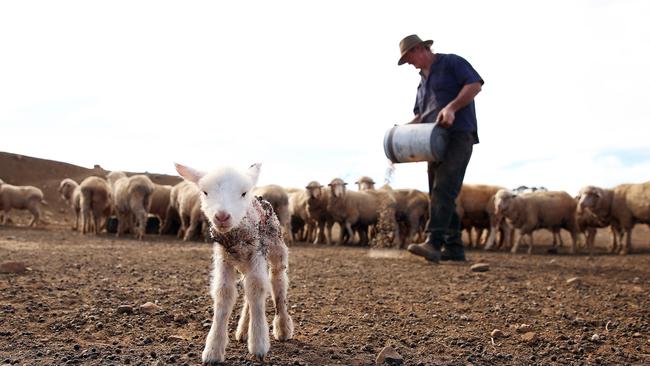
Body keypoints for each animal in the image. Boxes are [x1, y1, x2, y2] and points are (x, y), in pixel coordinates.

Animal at [173, 162, 292, 364]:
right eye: (205, 192)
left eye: (243, 193)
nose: (222, 216)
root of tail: (260, 198)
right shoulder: (223, 258)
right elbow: (224, 293)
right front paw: (213, 350)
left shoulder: (256, 253)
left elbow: (257, 288)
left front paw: (259, 344)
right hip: (244, 262)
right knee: (248, 291)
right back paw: (243, 330)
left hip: (276, 248)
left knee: (277, 281)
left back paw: (282, 327)